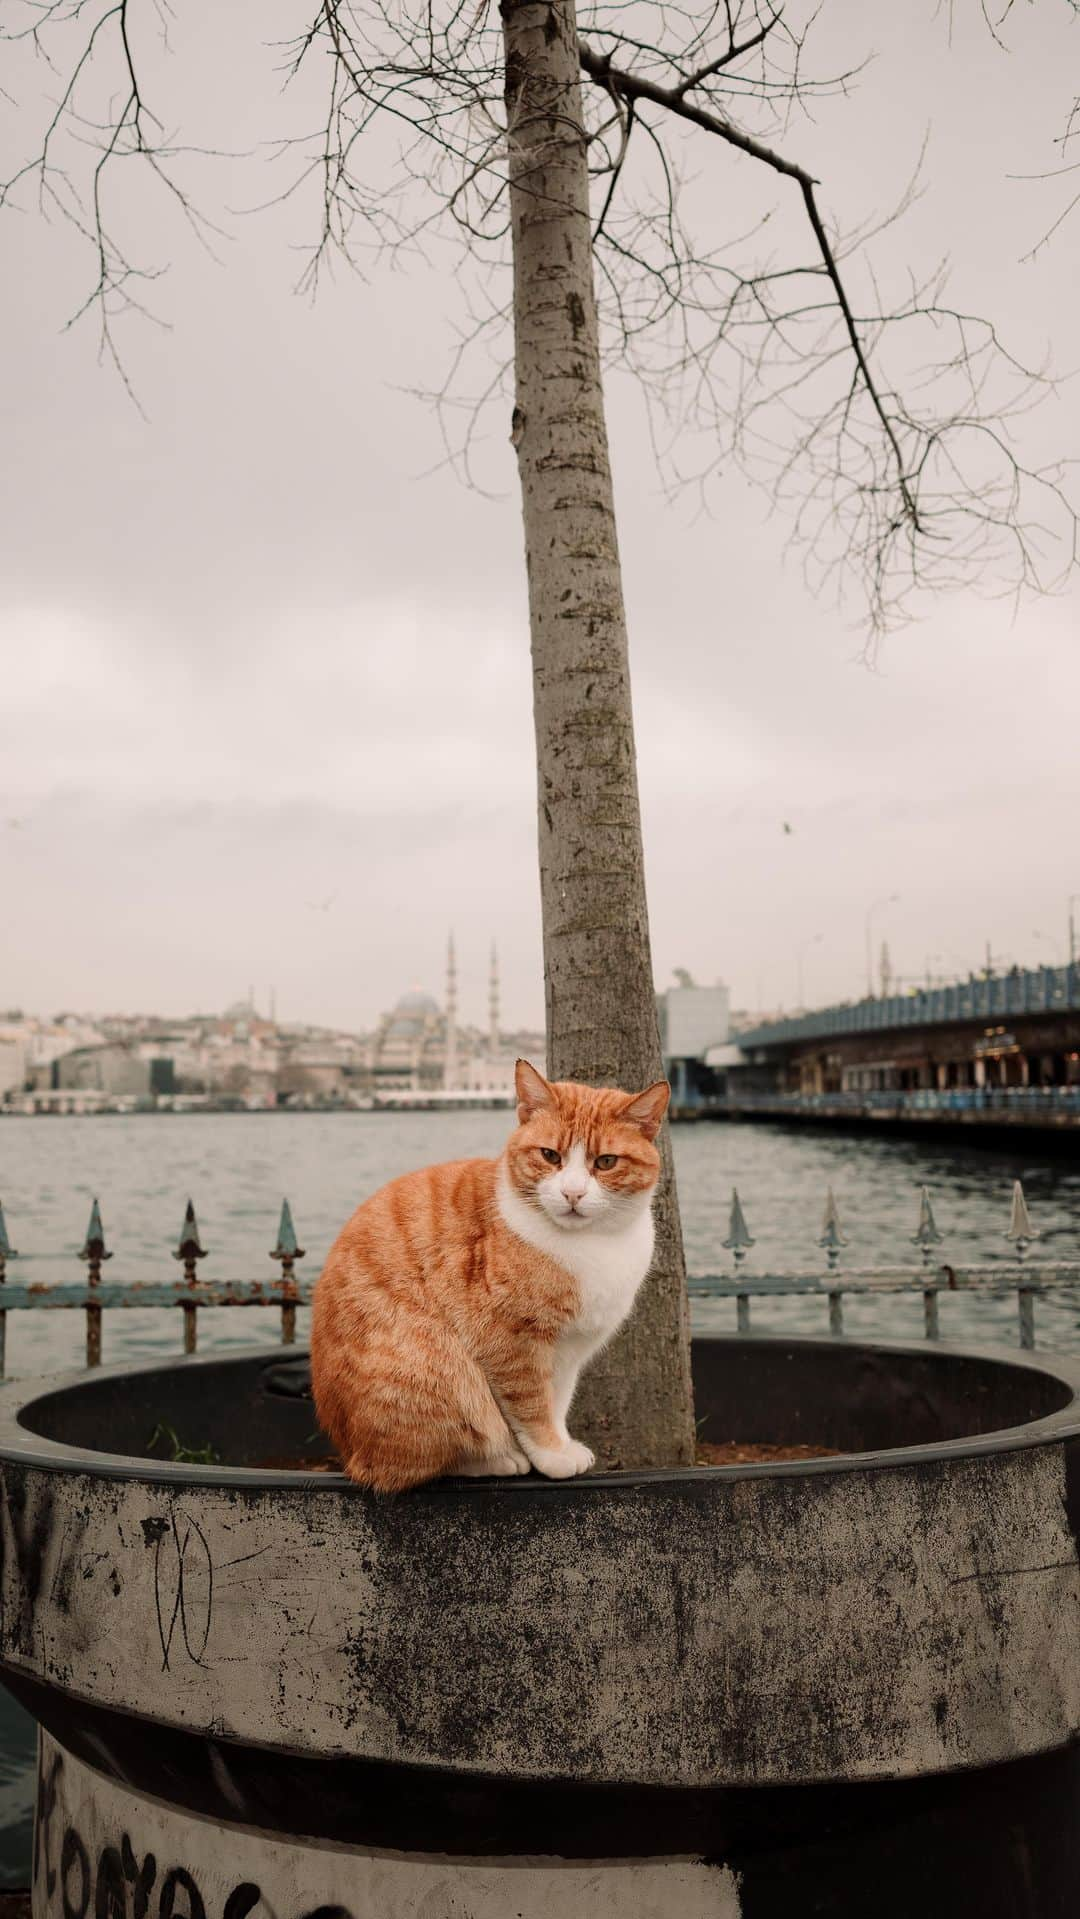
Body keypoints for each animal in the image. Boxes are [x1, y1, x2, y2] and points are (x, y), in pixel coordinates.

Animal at [308, 1059, 671, 1489]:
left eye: (606, 1162)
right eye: (550, 1156)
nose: (572, 1194)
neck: (594, 1243)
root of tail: (346, 1451)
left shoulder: (568, 1352)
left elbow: (557, 1402)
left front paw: (562, 1443)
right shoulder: (511, 1341)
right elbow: (532, 1407)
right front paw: (551, 1455)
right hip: (434, 1364)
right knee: (404, 1465)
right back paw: (498, 1460)